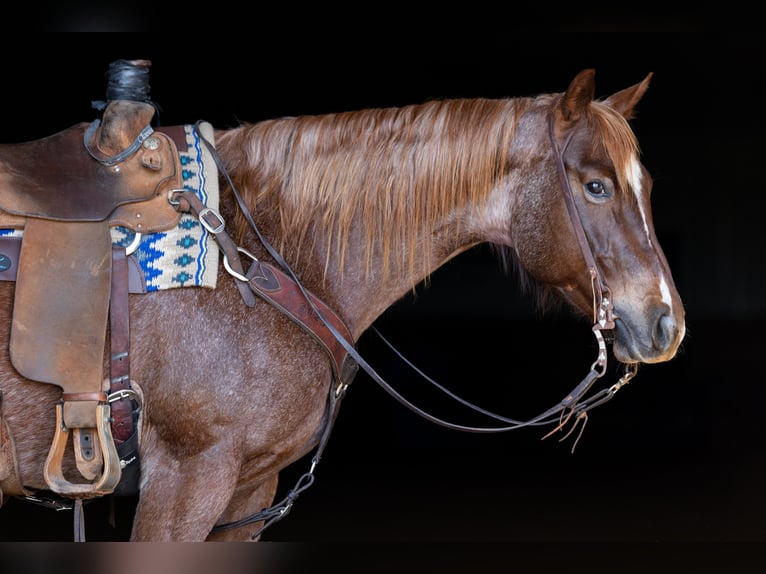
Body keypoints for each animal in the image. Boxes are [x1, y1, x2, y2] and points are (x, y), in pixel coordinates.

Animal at [0, 68, 685, 541]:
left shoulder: (248, 490)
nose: (665, 322)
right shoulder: (185, 481)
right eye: (594, 186)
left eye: (646, 184)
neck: (261, 257)